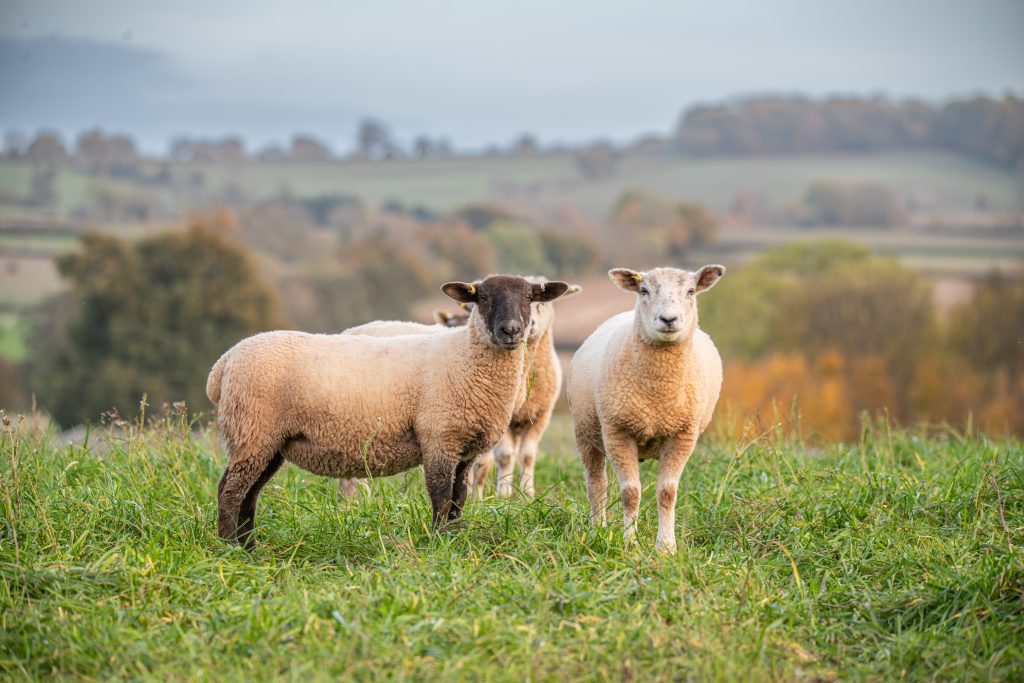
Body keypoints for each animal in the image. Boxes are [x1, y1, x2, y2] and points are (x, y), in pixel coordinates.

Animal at [203, 274, 573, 548]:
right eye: (481, 298)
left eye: (530, 297)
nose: (511, 330)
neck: (466, 357)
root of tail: (224, 363)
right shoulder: (438, 438)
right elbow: (440, 496)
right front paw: (439, 542)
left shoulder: (465, 447)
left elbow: (460, 498)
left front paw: (453, 538)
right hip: (252, 430)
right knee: (230, 491)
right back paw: (229, 548)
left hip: (268, 441)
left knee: (250, 493)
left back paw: (249, 545)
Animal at [565, 264, 724, 552]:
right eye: (644, 291)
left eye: (691, 291)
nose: (668, 319)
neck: (657, 396)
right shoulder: (618, 432)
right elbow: (630, 493)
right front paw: (630, 543)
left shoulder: (682, 435)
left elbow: (667, 492)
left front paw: (666, 547)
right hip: (585, 433)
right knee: (596, 484)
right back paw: (597, 531)